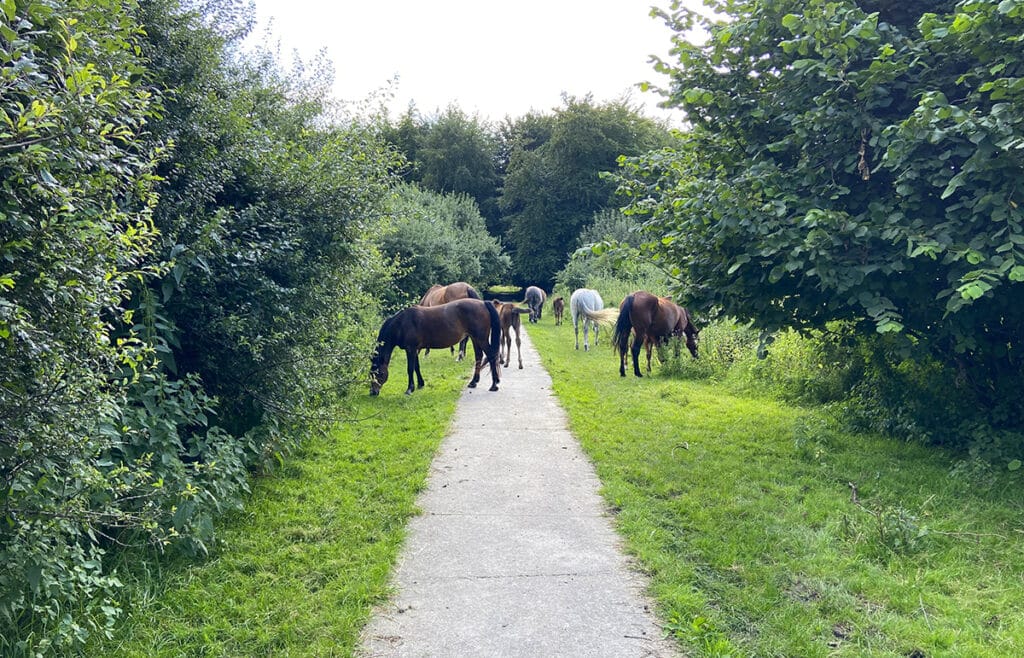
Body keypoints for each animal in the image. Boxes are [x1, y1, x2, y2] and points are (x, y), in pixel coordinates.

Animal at [370, 298, 501, 397]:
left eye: (379, 373)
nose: (373, 392)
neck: (402, 324)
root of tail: (483, 303)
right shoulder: (415, 349)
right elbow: (417, 367)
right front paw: (420, 384)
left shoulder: (410, 349)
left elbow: (410, 369)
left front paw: (409, 389)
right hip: (475, 339)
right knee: (479, 356)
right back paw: (473, 382)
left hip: (481, 339)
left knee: (491, 356)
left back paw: (494, 385)